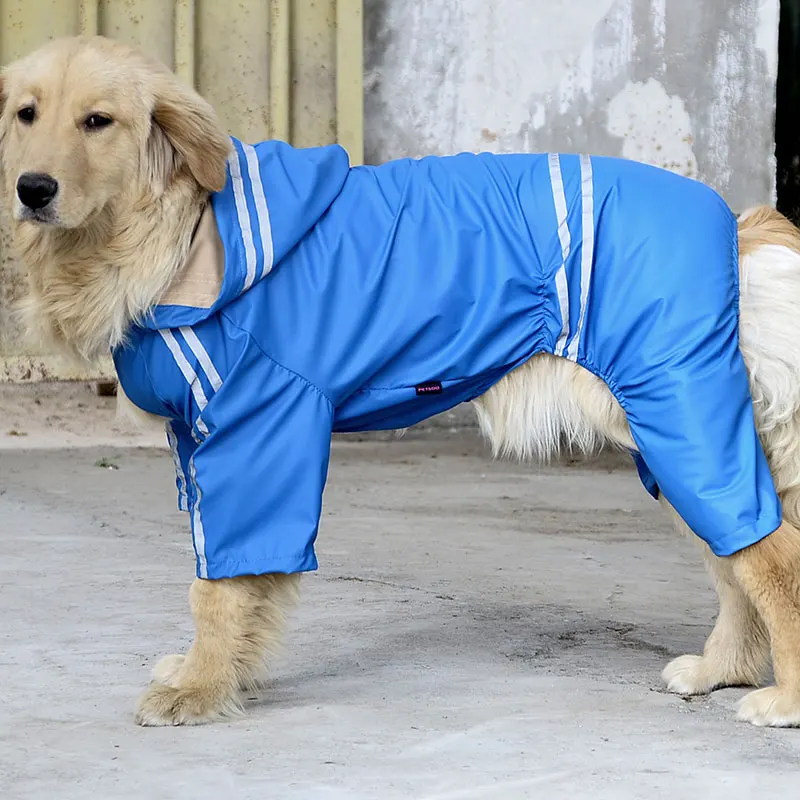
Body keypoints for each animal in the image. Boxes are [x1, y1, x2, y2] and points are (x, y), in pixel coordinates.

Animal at [4, 36, 800, 732]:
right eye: (26, 113)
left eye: (98, 121)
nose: (31, 189)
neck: (184, 232)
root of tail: (732, 223)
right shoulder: (198, 444)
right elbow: (225, 575)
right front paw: (222, 672)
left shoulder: (257, 430)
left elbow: (220, 586)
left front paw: (201, 689)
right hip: (671, 437)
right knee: (736, 553)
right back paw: (721, 670)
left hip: (682, 415)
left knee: (773, 558)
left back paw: (784, 700)